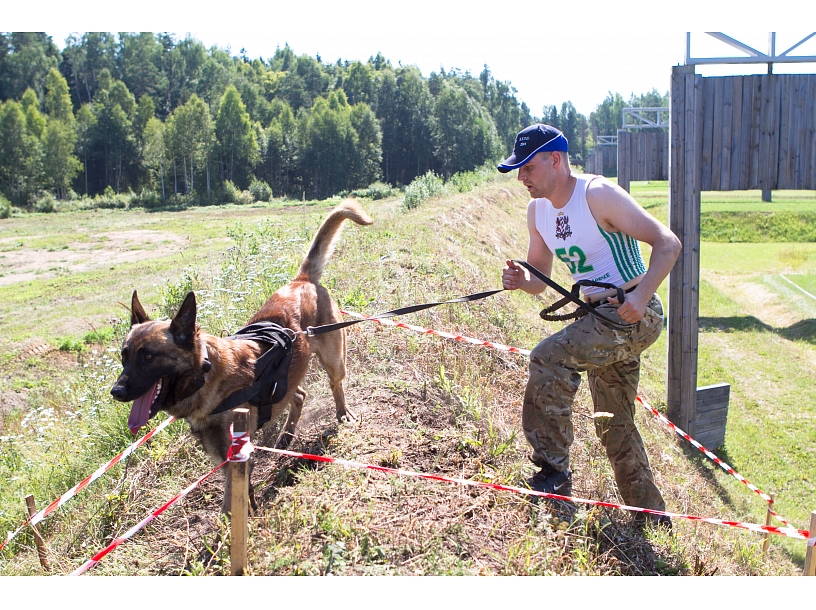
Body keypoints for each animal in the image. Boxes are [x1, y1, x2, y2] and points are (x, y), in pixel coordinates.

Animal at [110, 200, 374, 508]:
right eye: (124, 356)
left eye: (148, 356)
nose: (116, 392)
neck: (207, 377)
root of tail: (302, 280)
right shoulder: (226, 458)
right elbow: (238, 497)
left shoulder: (235, 456)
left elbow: (232, 503)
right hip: (287, 381)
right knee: (298, 395)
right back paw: (285, 436)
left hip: (334, 360)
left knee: (336, 385)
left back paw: (342, 414)